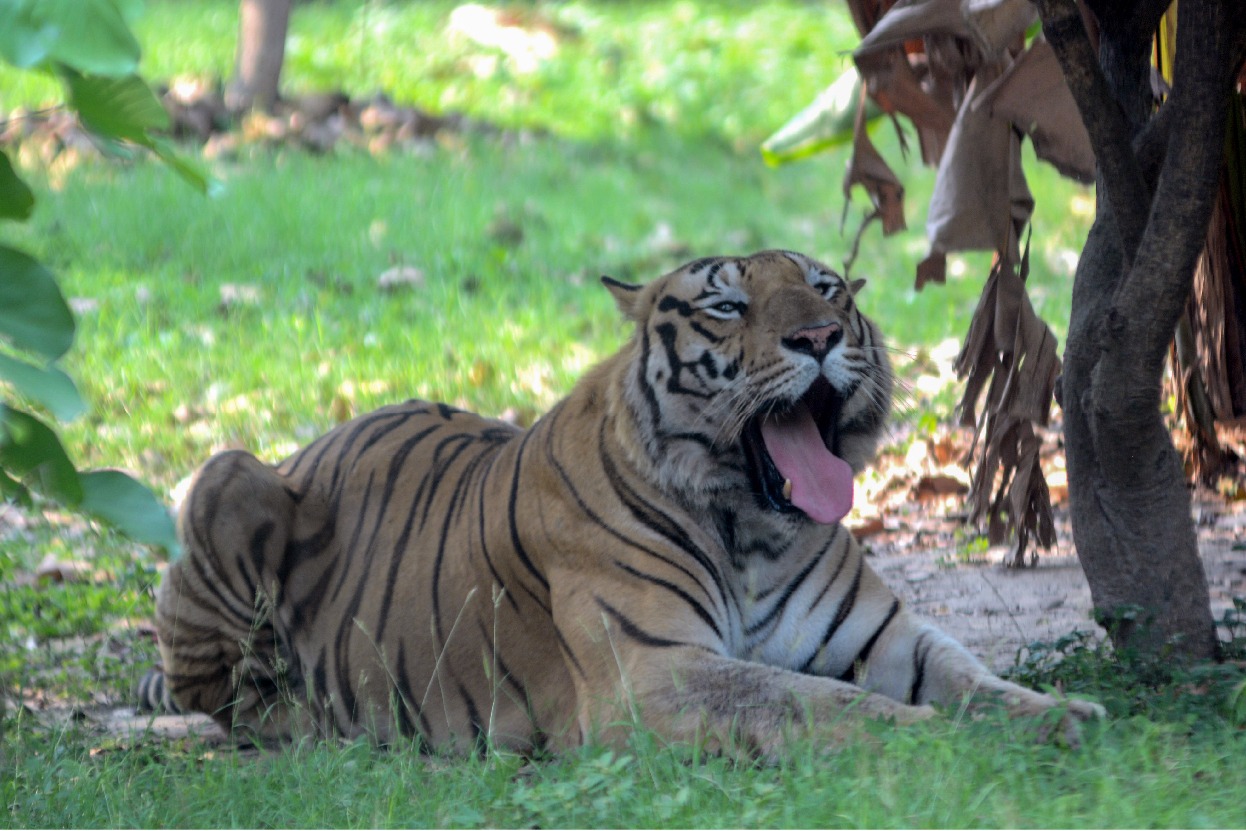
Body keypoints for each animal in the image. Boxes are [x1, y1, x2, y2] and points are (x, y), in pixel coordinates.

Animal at [145, 246, 1101, 752]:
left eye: (826, 287)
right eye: (728, 304)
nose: (821, 335)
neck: (757, 530)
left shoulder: (887, 638)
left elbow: (974, 677)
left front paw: (1061, 714)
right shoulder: (653, 673)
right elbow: (810, 699)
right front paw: (926, 737)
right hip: (225, 476)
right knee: (226, 699)